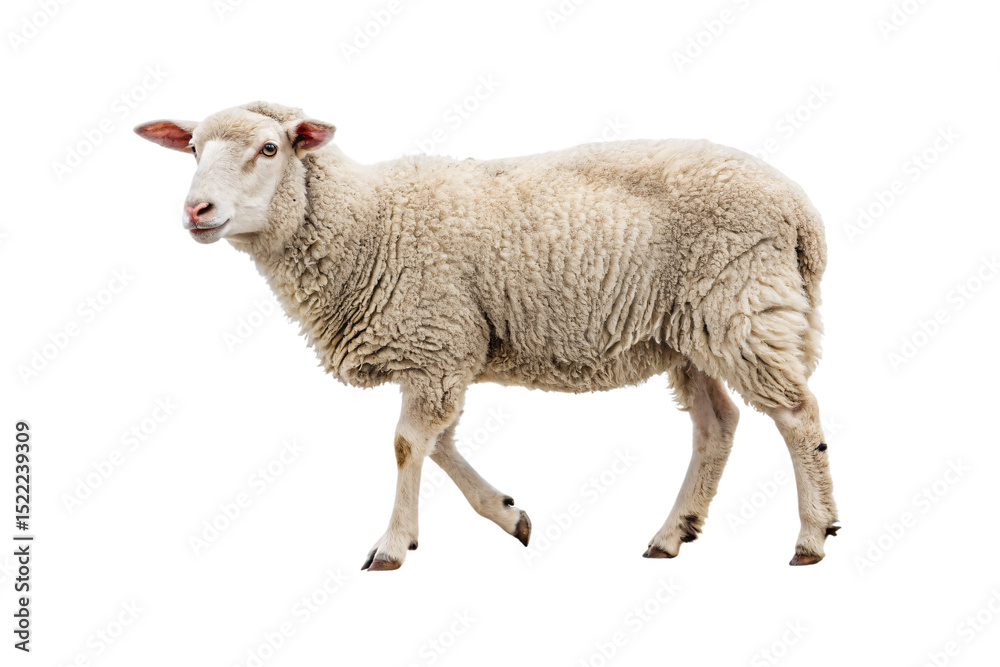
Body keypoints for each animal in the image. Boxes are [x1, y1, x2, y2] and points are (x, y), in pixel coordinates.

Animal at [135, 101, 839, 571]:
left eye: (269, 149)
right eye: (192, 150)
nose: (196, 211)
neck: (366, 224)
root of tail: (800, 208)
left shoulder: (435, 340)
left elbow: (406, 444)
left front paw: (392, 545)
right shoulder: (449, 350)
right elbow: (438, 442)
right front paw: (508, 514)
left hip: (742, 304)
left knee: (798, 414)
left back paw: (812, 535)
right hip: (691, 330)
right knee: (717, 424)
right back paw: (673, 533)